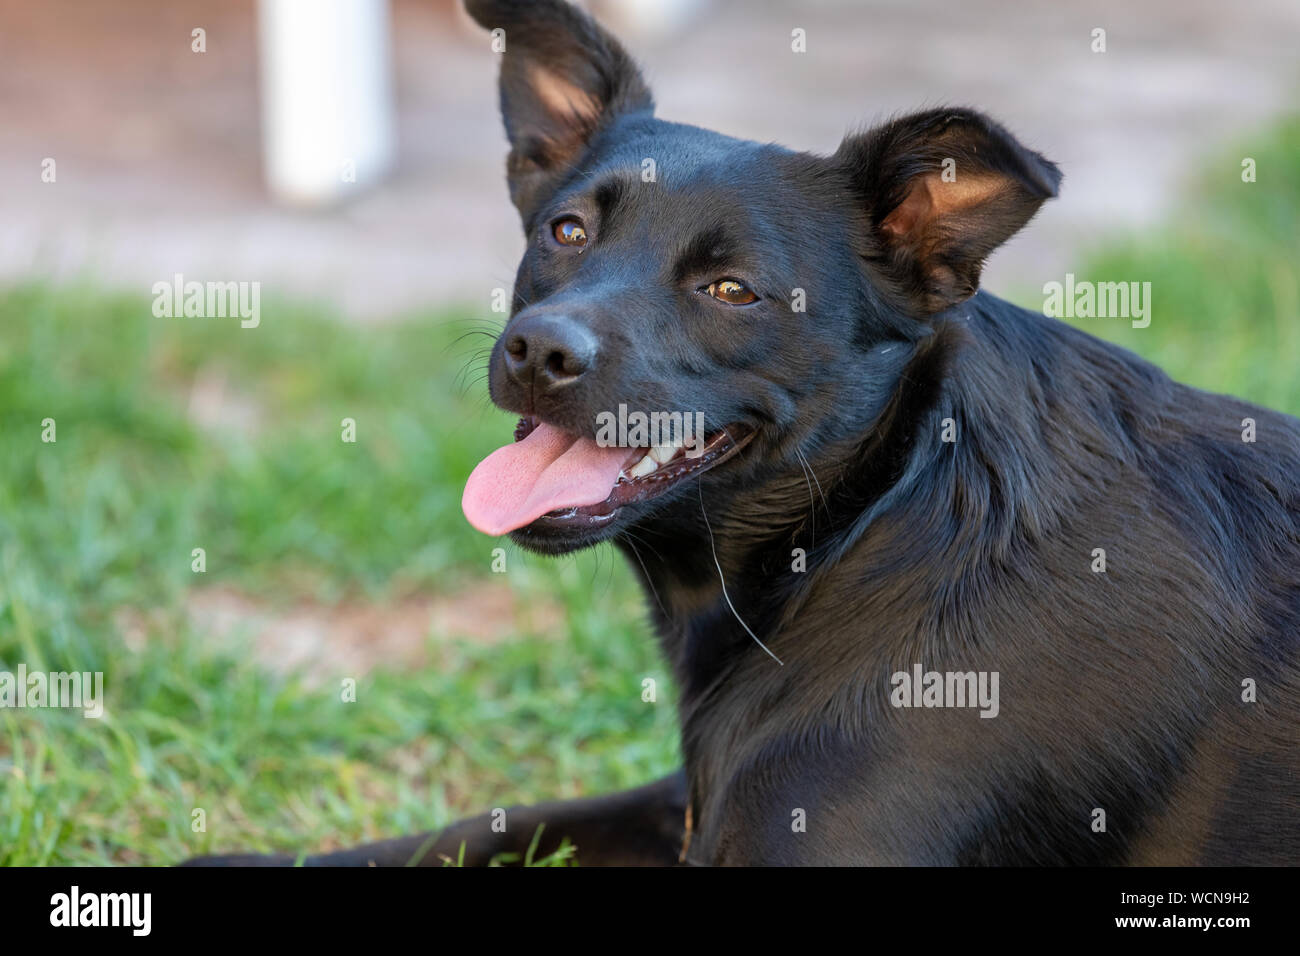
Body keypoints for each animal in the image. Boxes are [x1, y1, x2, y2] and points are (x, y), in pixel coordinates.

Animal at [188, 0, 1294, 868]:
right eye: (565, 232)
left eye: (731, 290)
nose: (537, 351)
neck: (867, 525)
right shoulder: (687, 805)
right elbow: (491, 826)